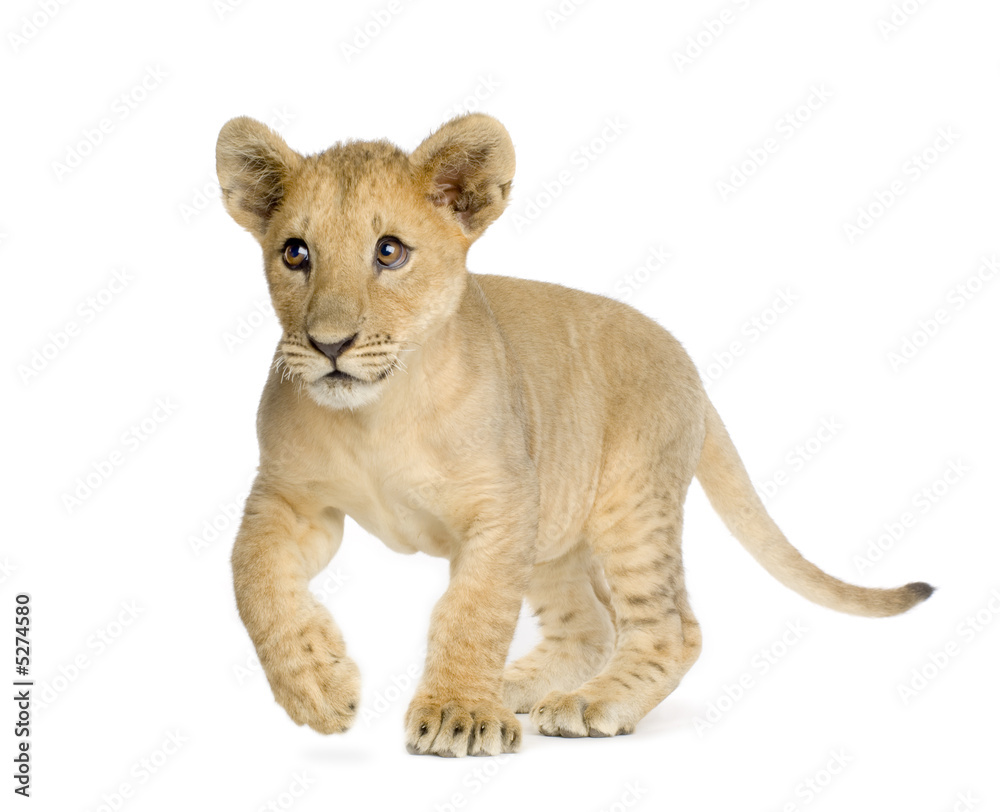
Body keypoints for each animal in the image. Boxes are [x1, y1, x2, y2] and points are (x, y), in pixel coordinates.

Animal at [216, 113, 932, 757]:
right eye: (295, 253)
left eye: (388, 252)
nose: (329, 345)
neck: (374, 416)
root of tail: (686, 359)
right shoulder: (290, 498)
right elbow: (253, 578)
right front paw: (317, 686)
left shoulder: (503, 505)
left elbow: (473, 610)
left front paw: (457, 714)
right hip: (554, 531)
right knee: (589, 626)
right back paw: (519, 686)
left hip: (630, 505)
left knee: (672, 628)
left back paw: (590, 703)